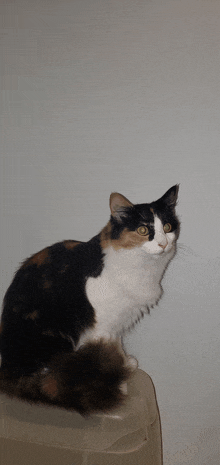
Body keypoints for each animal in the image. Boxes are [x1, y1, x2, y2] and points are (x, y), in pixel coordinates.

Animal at [0, 184, 179, 414]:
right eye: (143, 230)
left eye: (167, 227)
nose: (163, 244)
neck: (143, 269)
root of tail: (8, 372)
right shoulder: (100, 325)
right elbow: (107, 350)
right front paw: (118, 382)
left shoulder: (116, 322)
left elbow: (116, 345)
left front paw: (124, 363)